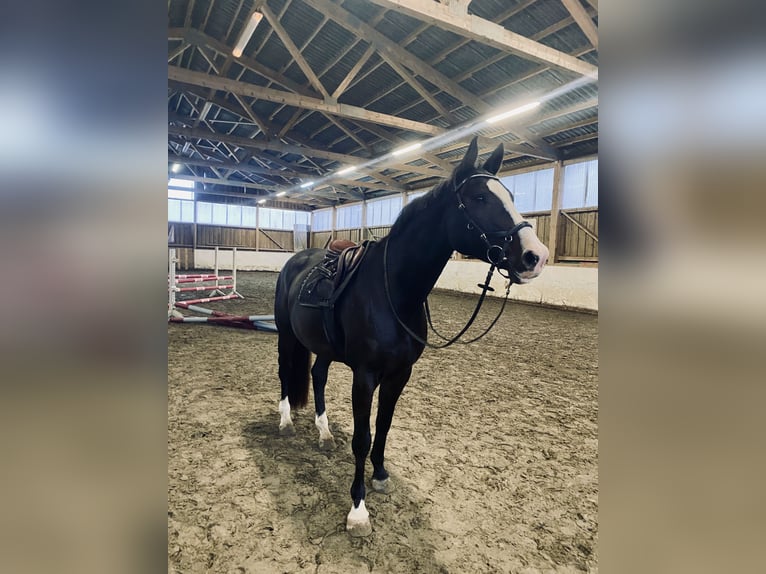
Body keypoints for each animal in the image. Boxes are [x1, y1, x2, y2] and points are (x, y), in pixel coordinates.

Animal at [273, 136, 549, 536]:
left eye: (511, 194)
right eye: (480, 197)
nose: (535, 256)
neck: (394, 291)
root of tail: (297, 259)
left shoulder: (400, 374)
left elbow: (384, 427)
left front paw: (380, 475)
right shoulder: (365, 376)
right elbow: (362, 438)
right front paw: (358, 510)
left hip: (322, 347)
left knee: (318, 375)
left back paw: (323, 433)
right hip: (284, 335)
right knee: (284, 374)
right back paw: (285, 423)